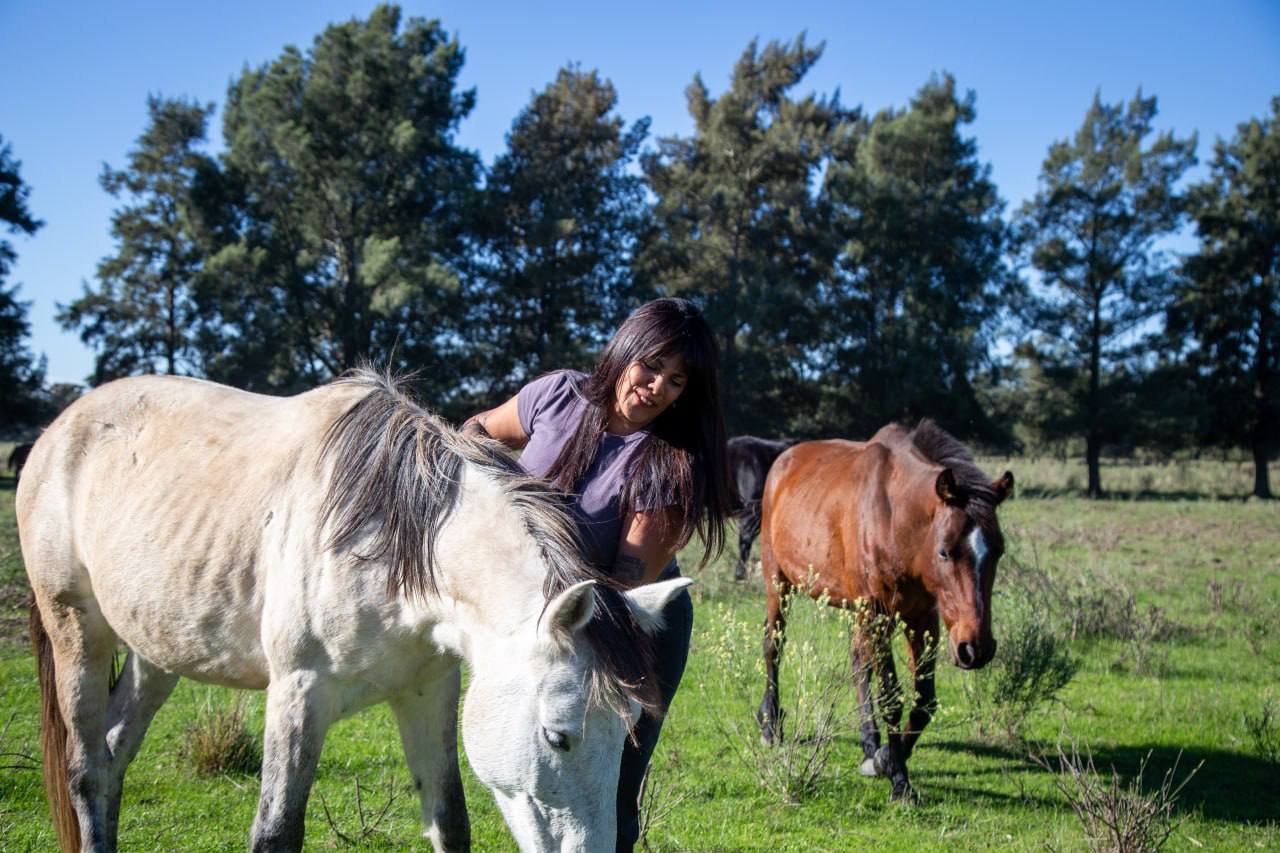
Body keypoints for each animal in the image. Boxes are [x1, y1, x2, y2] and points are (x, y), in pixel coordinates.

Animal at [17, 369, 690, 853]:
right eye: (559, 736)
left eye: (632, 729)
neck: (391, 545)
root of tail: (58, 430)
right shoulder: (298, 695)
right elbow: (276, 834)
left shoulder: (428, 693)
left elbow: (450, 823)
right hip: (77, 630)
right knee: (88, 772)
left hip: (156, 653)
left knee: (113, 757)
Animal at [755, 420, 1013, 801]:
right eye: (945, 551)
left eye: (998, 551)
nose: (975, 648)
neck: (894, 519)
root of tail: (783, 461)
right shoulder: (878, 613)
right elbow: (892, 696)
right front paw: (899, 779)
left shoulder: (921, 618)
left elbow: (924, 701)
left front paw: (885, 758)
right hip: (779, 583)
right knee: (774, 645)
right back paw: (771, 725)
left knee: (858, 664)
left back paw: (868, 743)